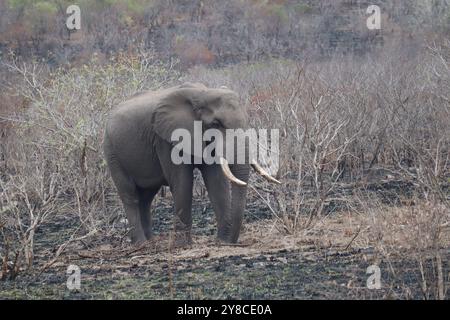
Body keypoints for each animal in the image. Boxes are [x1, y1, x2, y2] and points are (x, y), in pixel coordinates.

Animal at [104, 82, 278, 245]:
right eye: (216, 123)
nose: (230, 241)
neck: (202, 93)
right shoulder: (164, 139)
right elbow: (182, 181)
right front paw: (182, 245)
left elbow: (216, 181)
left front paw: (221, 240)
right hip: (112, 152)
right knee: (130, 195)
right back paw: (141, 244)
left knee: (146, 197)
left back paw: (150, 241)